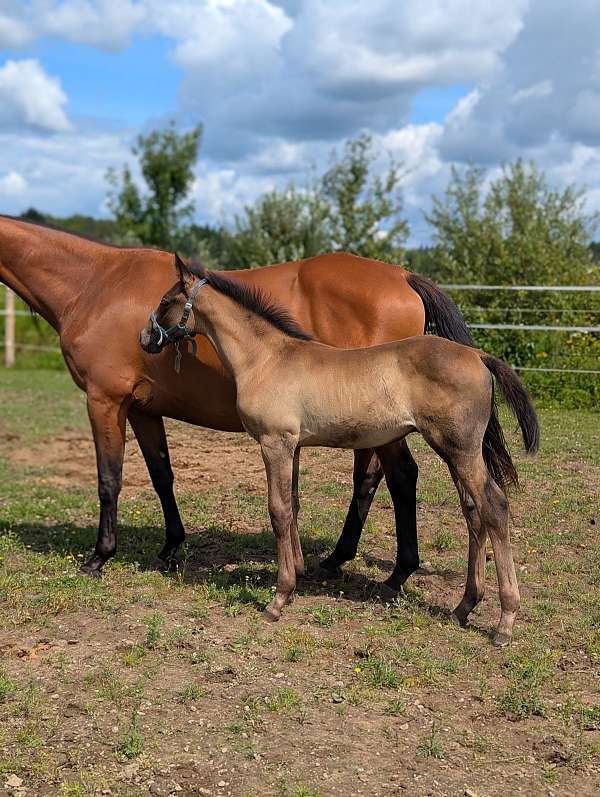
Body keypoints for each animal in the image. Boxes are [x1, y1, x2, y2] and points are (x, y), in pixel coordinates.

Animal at [1, 214, 474, 588]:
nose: (145, 336)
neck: (95, 283)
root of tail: (402, 276)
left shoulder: (105, 401)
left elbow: (108, 480)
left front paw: (100, 556)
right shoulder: (143, 410)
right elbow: (161, 475)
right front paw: (170, 547)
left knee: (400, 477)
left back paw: (396, 573)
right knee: (370, 479)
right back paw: (339, 559)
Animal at [142, 256, 539, 646]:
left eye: (166, 301)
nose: (145, 337)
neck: (267, 359)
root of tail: (479, 356)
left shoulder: (275, 443)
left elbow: (278, 511)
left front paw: (279, 598)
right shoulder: (293, 446)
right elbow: (293, 505)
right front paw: (297, 575)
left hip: (459, 449)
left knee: (494, 507)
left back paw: (504, 622)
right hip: (456, 452)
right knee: (474, 512)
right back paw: (463, 607)